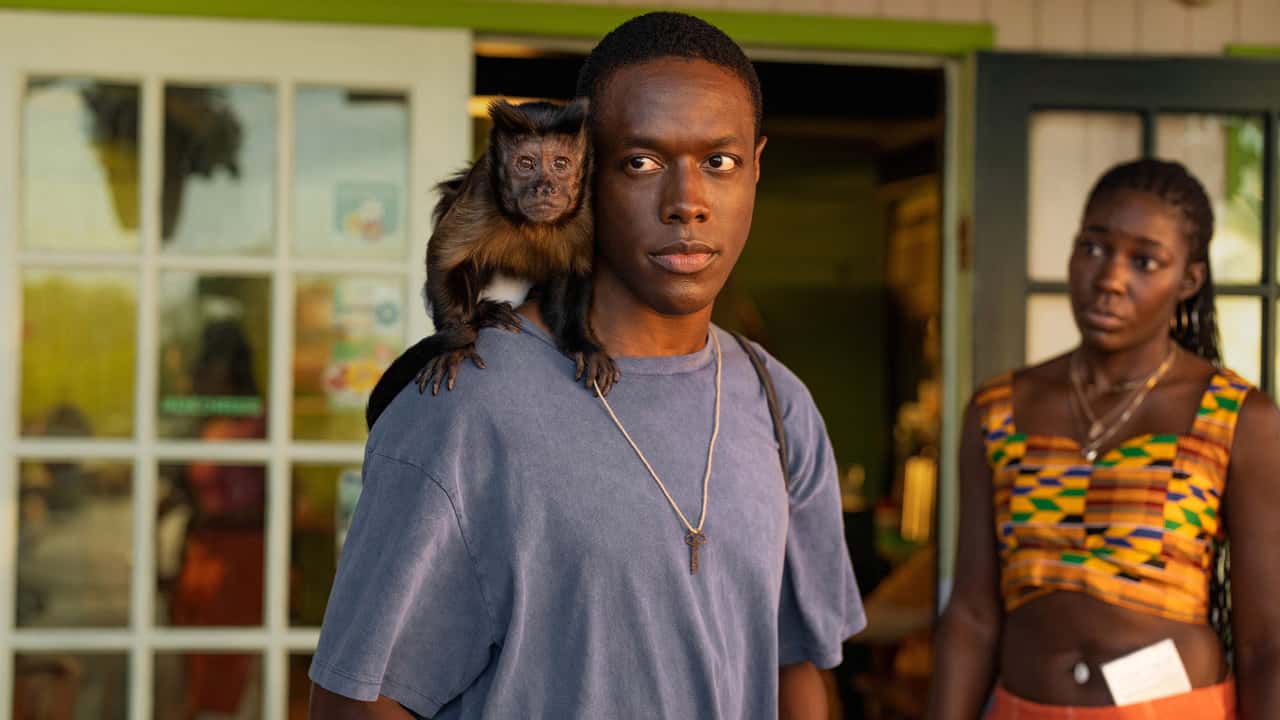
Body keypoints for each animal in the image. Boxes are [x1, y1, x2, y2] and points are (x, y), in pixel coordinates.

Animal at [364, 98, 618, 430]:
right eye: (526, 164)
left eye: (560, 164)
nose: (545, 186)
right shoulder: (482, 190)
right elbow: (444, 257)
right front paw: (457, 345)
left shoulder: (586, 204)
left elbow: (576, 269)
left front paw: (582, 343)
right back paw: (484, 314)